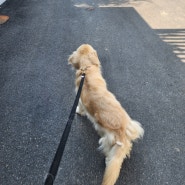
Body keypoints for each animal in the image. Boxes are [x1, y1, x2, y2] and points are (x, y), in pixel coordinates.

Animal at [68, 44, 145, 184]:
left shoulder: (80, 98)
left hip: (106, 140)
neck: (87, 69)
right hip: (133, 127)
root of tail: (122, 134)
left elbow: (80, 108)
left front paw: (78, 111)